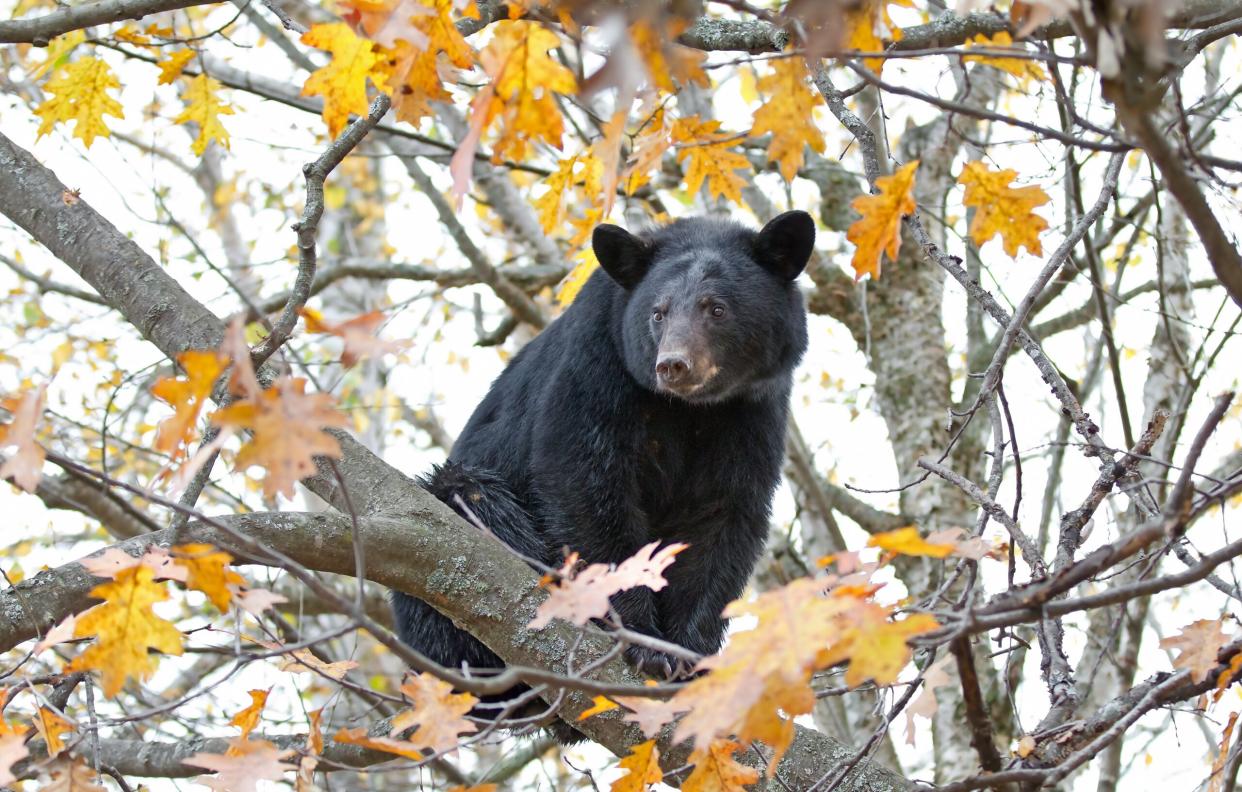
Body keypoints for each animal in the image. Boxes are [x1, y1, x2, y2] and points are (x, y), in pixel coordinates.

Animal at [392, 209, 809, 695]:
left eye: (717, 309)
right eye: (657, 313)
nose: (673, 365)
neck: (689, 409)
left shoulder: (754, 410)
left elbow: (723, 515)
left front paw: (689, 653)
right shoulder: (598, 361)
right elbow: (585, 480)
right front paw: (642, 639)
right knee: (471, 501)